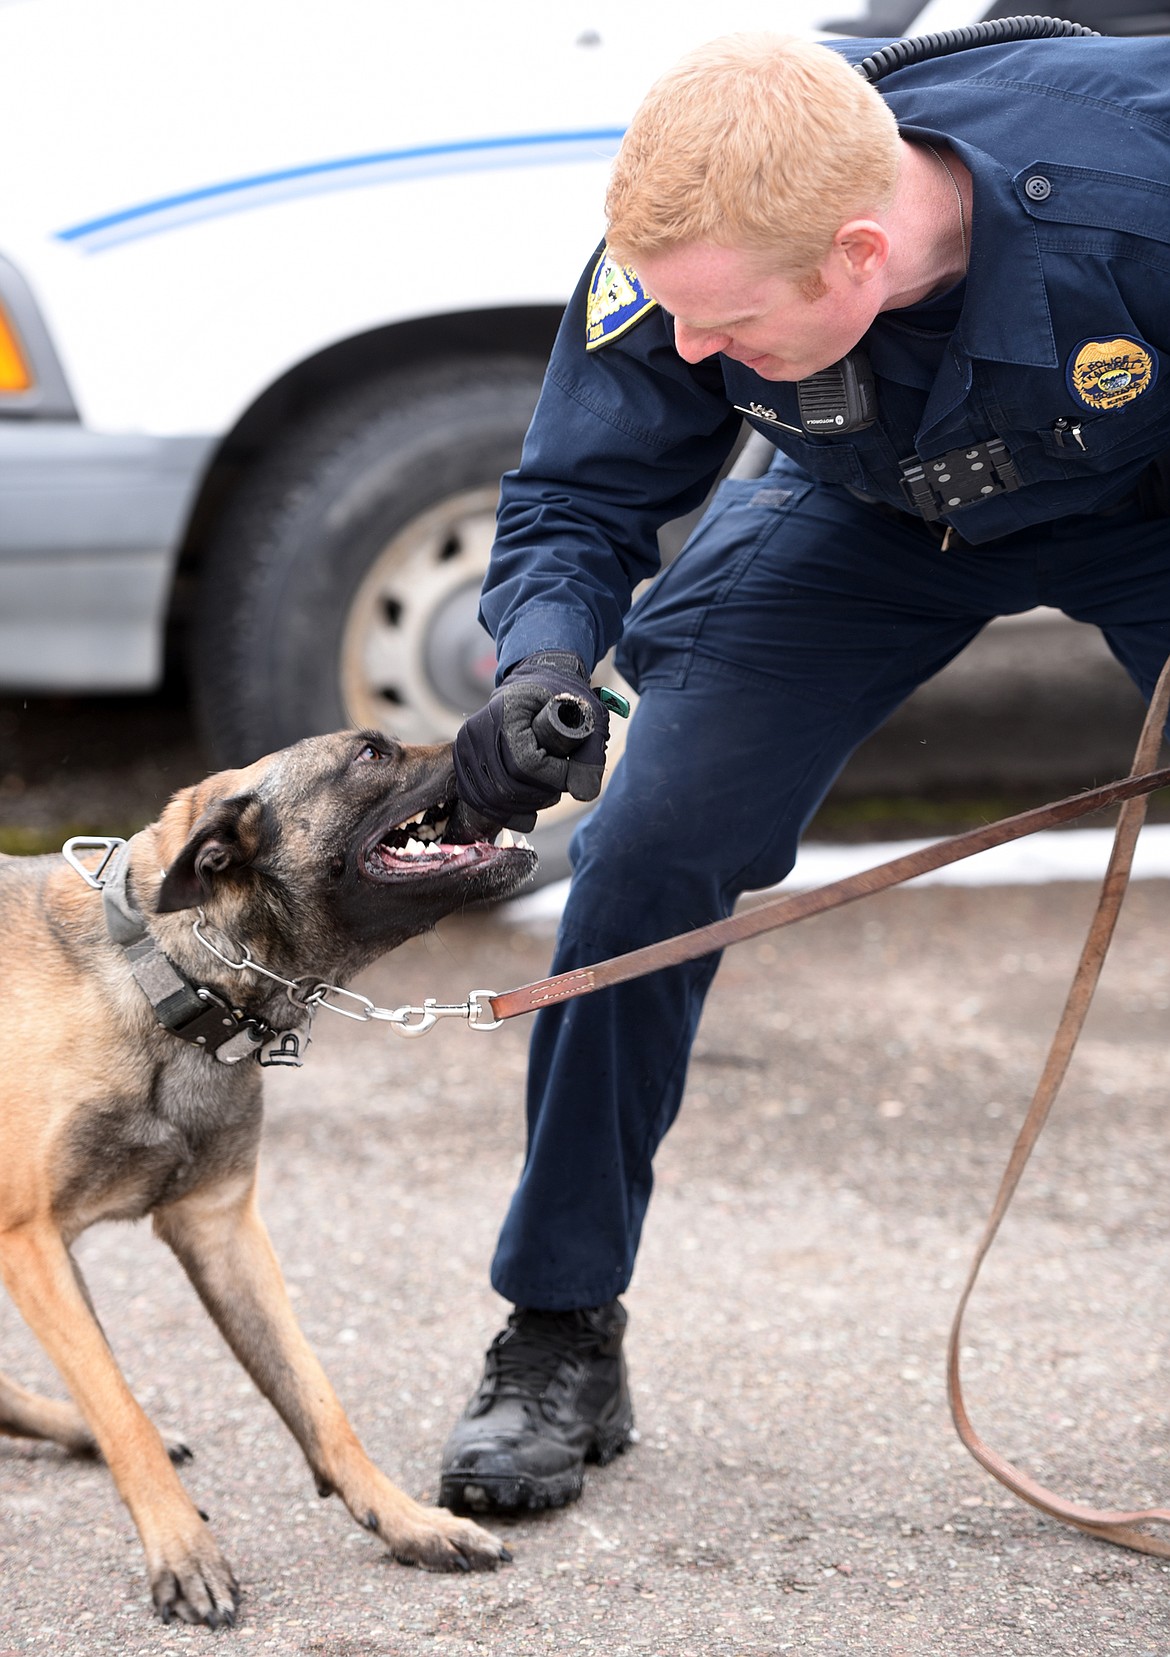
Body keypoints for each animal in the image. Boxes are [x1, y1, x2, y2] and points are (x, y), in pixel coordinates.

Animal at [0, 729, 536, 1630]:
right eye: (371, 753)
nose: (498, 737)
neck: (164, 975)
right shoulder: (29, 1242)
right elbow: (123, 1409)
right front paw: (184, 1554)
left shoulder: (222, 1228)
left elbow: (318, 1400)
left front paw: (407, 1521)